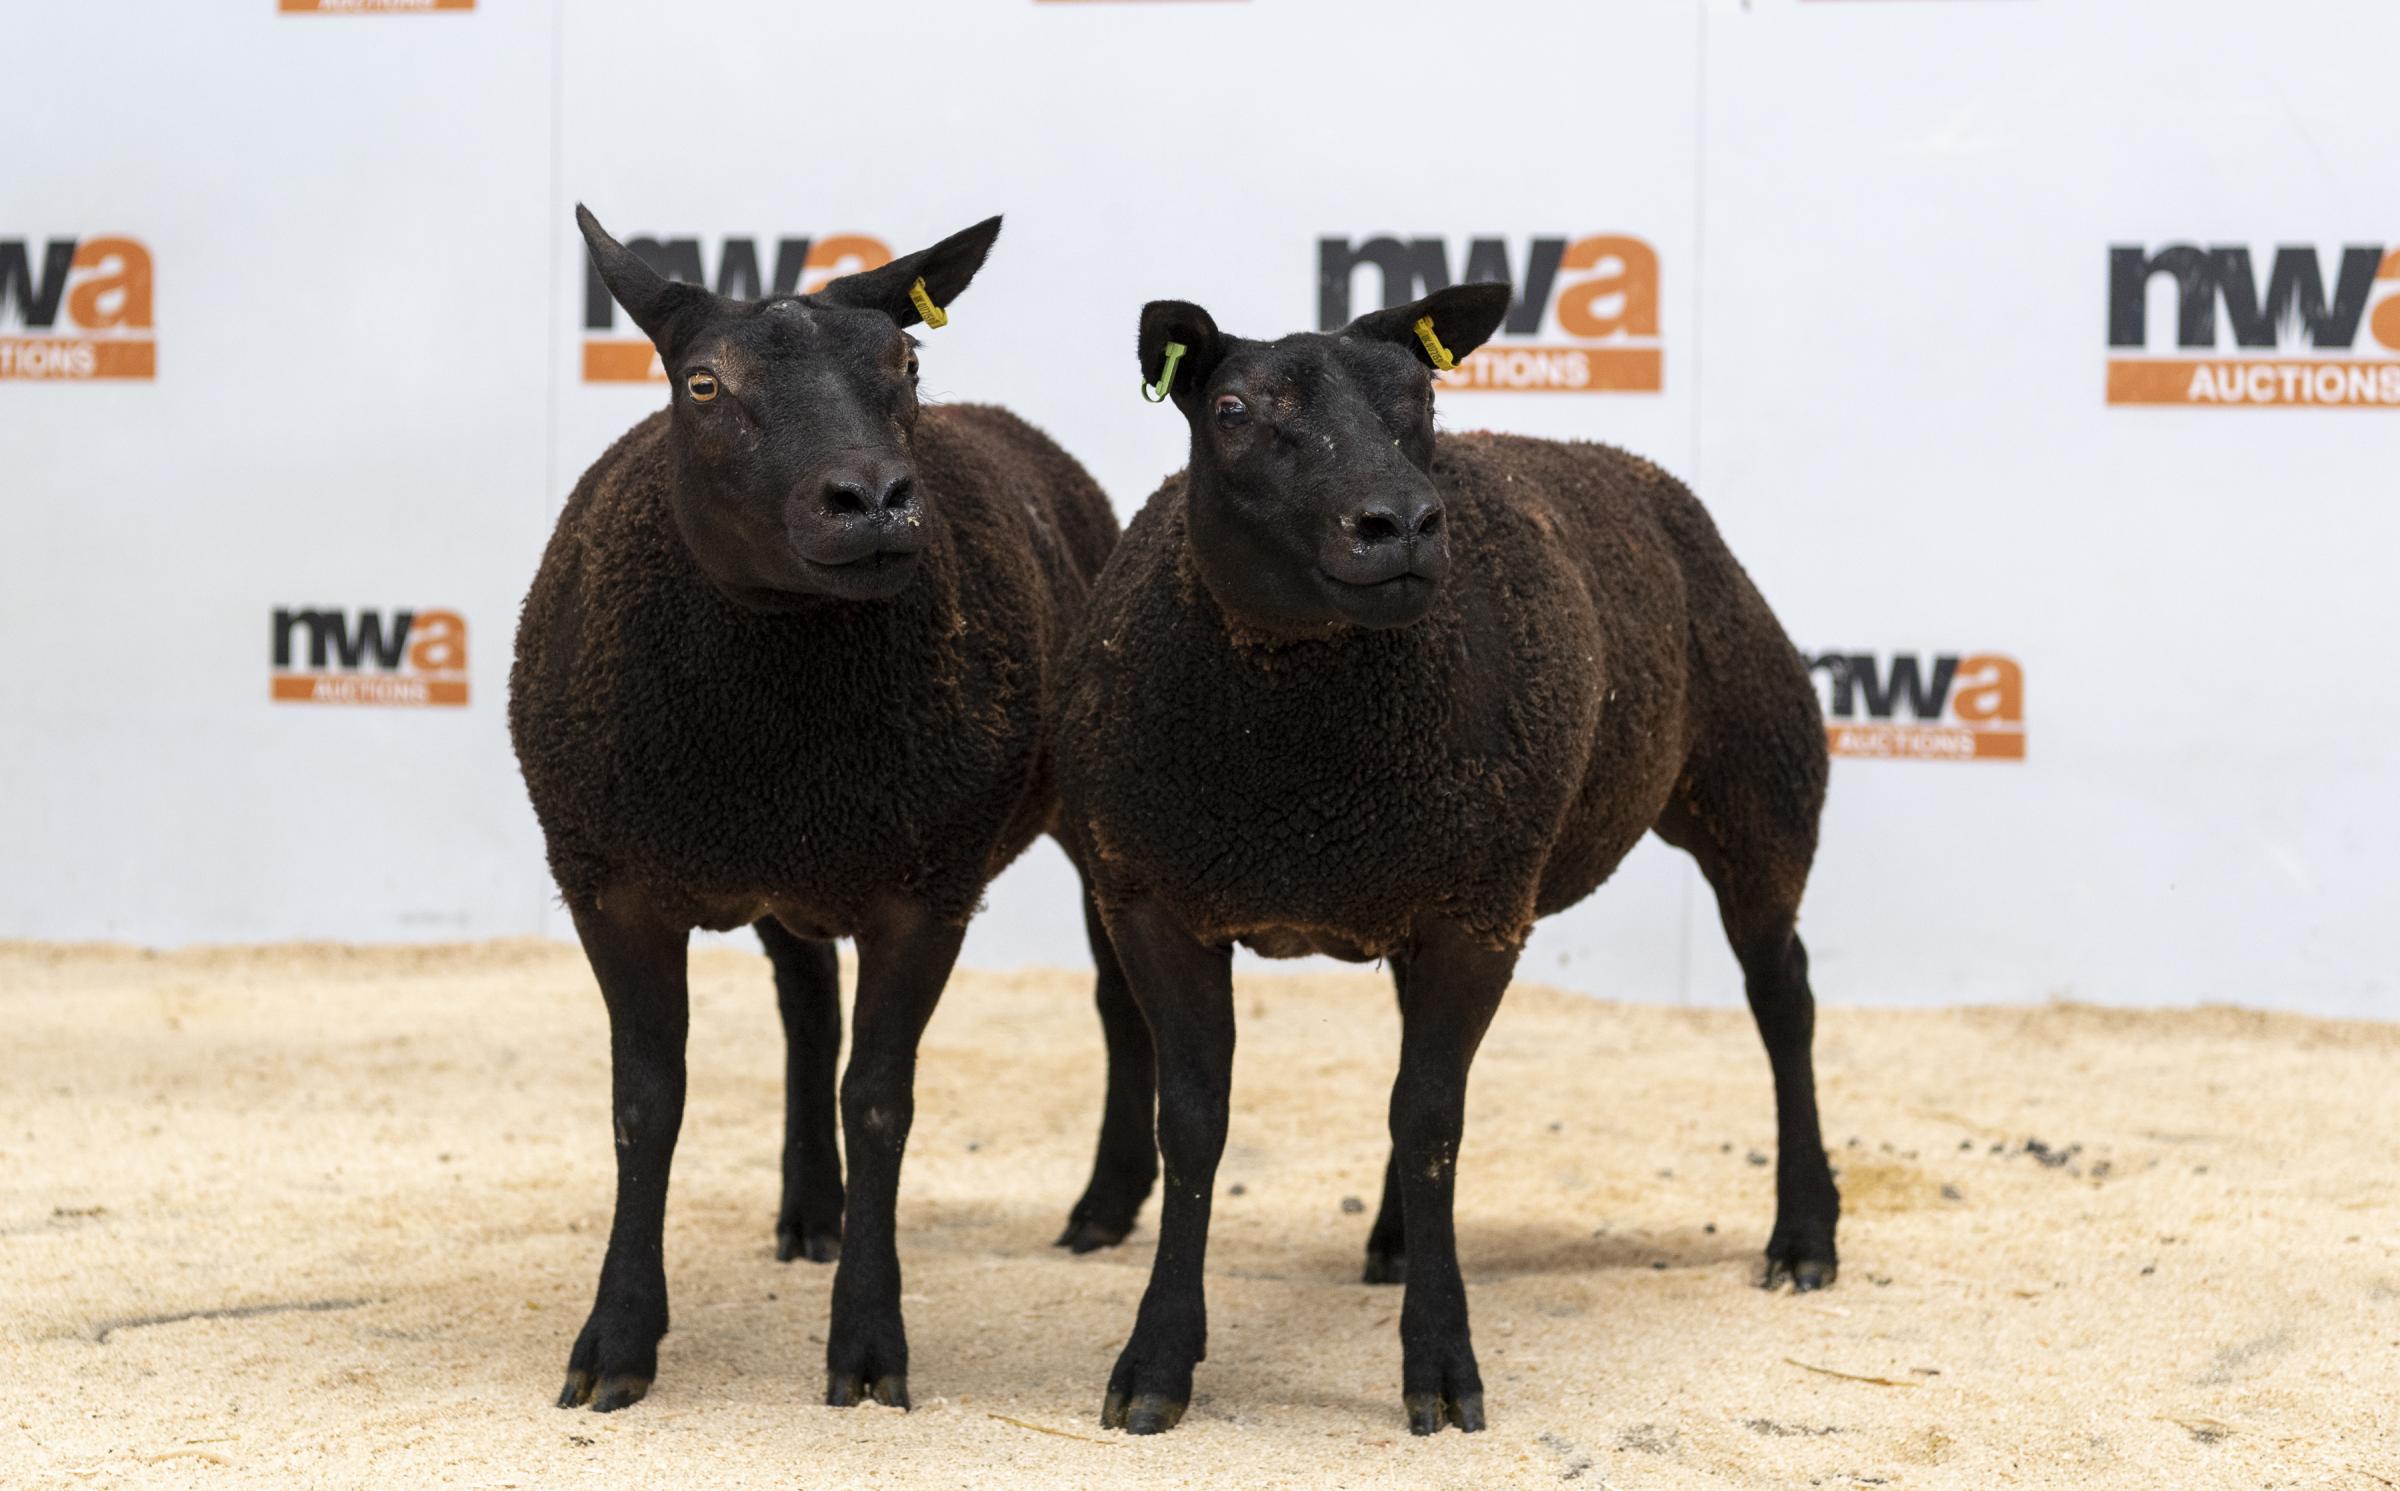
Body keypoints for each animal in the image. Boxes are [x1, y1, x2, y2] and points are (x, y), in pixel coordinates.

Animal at [511, 206, 1147, 1411]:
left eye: (906, 364)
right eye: (703, 383)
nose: (873, 502)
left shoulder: (926, 889)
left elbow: (881, 1099)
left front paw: (866, 1345)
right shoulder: (609, 880)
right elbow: (646, 1102)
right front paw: (615, 1343)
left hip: (1078, 821)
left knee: (1114, 997)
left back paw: (1103, 1205)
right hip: (786, 868)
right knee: (805, 1004)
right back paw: (811, 1207)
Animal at [1056, 278, 1833, 1430]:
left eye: (1421, 397)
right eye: (1232, 408)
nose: (1404, 526)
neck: (1296, 779)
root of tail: (1634, 468)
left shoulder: (1478, 912)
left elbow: (1430, 1123)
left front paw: (1440, 1363)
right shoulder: (1156, 900)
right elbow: (1196, 1123)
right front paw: (1155, 1365)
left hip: (1755, 793)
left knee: (1785, 997)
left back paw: (1806, 1235)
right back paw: (1387, 1240)